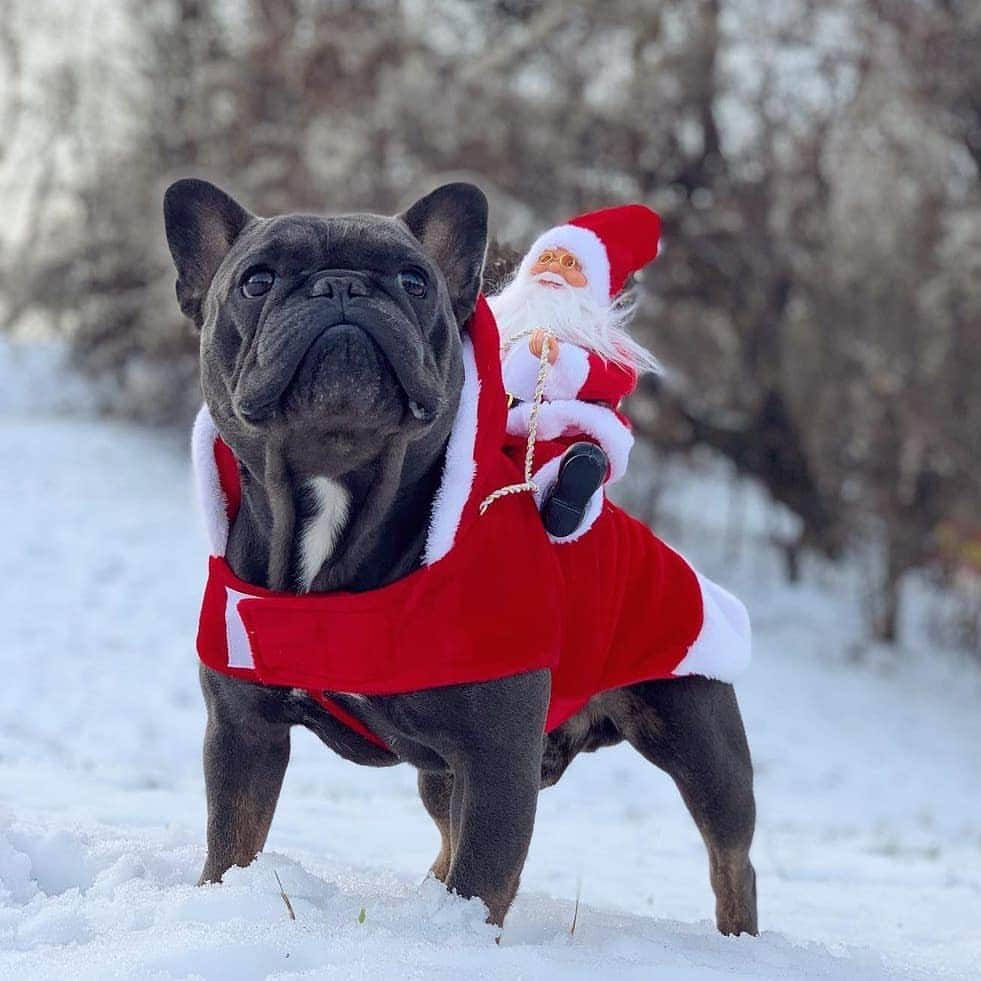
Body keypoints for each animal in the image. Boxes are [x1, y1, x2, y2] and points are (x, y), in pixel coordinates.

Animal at [163, 178, 756, 936]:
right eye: (256, 280)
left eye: (414, 281)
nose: (341, 286)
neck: (335, 485)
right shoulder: (244, 730)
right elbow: (232, 837)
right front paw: (218, 902)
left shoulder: (496, 756)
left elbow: (486, 869)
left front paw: (463, 938)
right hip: (442, 770)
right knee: (447, 828)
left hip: (700, 741)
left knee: (730, 856)